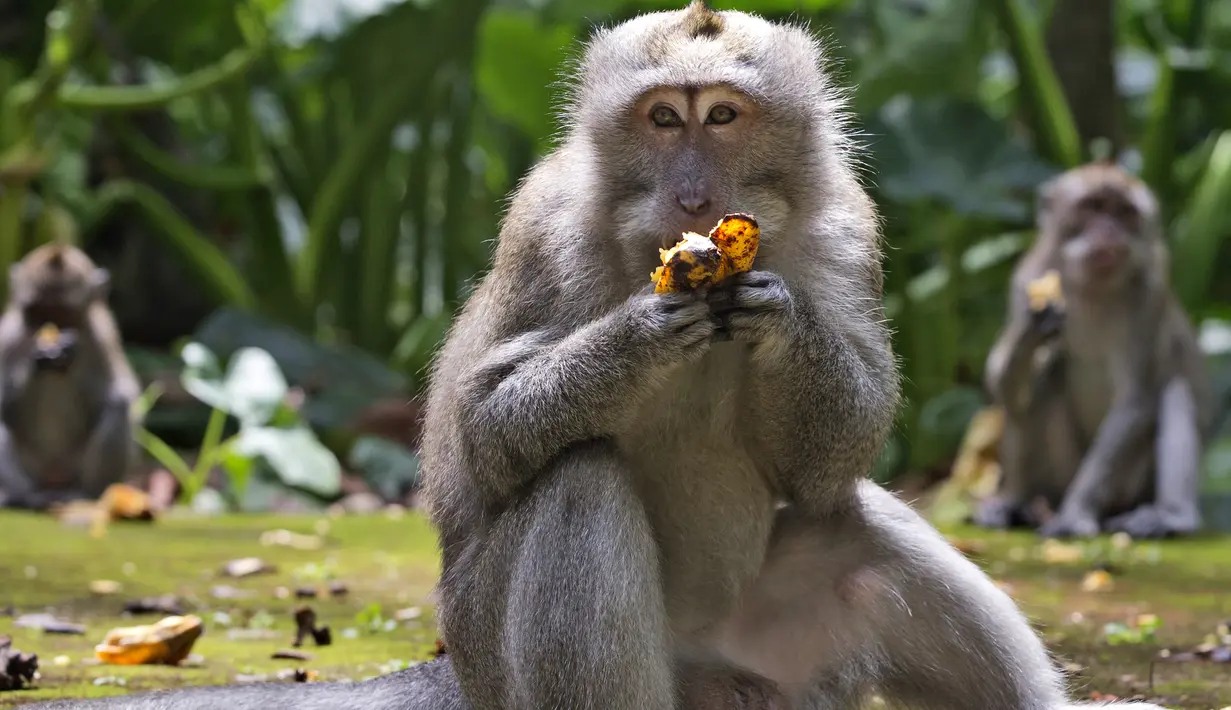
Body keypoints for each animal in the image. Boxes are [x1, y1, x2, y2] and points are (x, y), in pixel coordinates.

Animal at [0, 242, 141, 510]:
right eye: (39, 312)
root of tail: (54, 476)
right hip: (33, 466)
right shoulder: (8, 336)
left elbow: (119, 392)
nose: (51, 328)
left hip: (74, 465)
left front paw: (65, 355)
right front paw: (39, 360)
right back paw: (20, 496)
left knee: (117, 405)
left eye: (63, 313)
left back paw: (87, 492)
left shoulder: (100, 337)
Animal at [22, 6, 1170, 710]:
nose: (695, 194)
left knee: (856, 526)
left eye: (723, 115)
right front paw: (638, 333)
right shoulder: (544, 227)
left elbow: (830, 457)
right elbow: (486, 433)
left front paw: (779, 318)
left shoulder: (853, 230)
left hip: (781, 669)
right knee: (579, 479)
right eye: (662, 118)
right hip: (504, 653)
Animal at [976, 162, 1212, 540]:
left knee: (1174, 388)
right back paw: (1016, 502)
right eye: (1093, 207)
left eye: (1124, 213)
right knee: (1042, 382)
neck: (1091, 289)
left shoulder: (1150, 292)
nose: (1109, 232)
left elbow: (1136, 401)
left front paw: (1075, 513)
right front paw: (1033, 327)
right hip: (1057, 476)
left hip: (1131, 488)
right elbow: (1001, 384)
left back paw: (1171, 515)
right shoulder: (1026, 277)